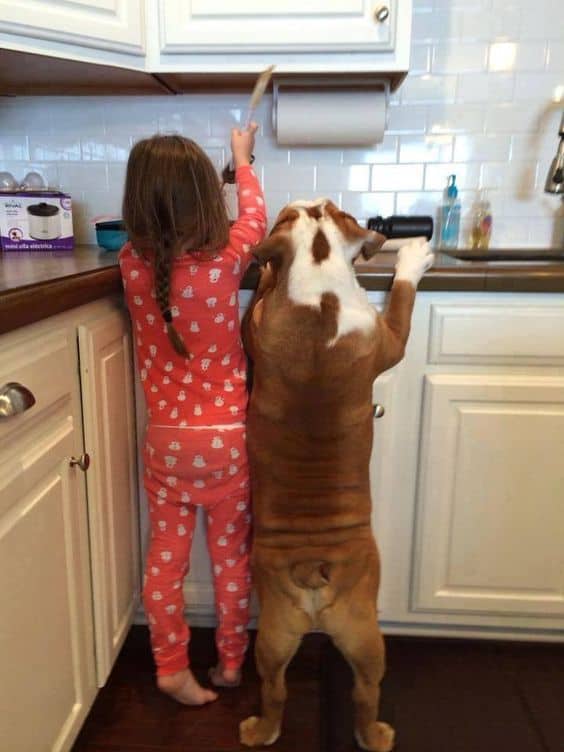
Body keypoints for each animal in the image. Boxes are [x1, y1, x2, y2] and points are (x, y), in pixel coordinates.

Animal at [240, 200, 434, 752]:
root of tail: (313, 568)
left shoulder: (256, 327)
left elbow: (261, 298)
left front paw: (266, 270)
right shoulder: (391, 338)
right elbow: (403, 302)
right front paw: (413, 257)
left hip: (274, 632)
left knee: (274, 687)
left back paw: (260, 730)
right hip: (366, 633)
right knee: (366, 690)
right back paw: (375, 735)